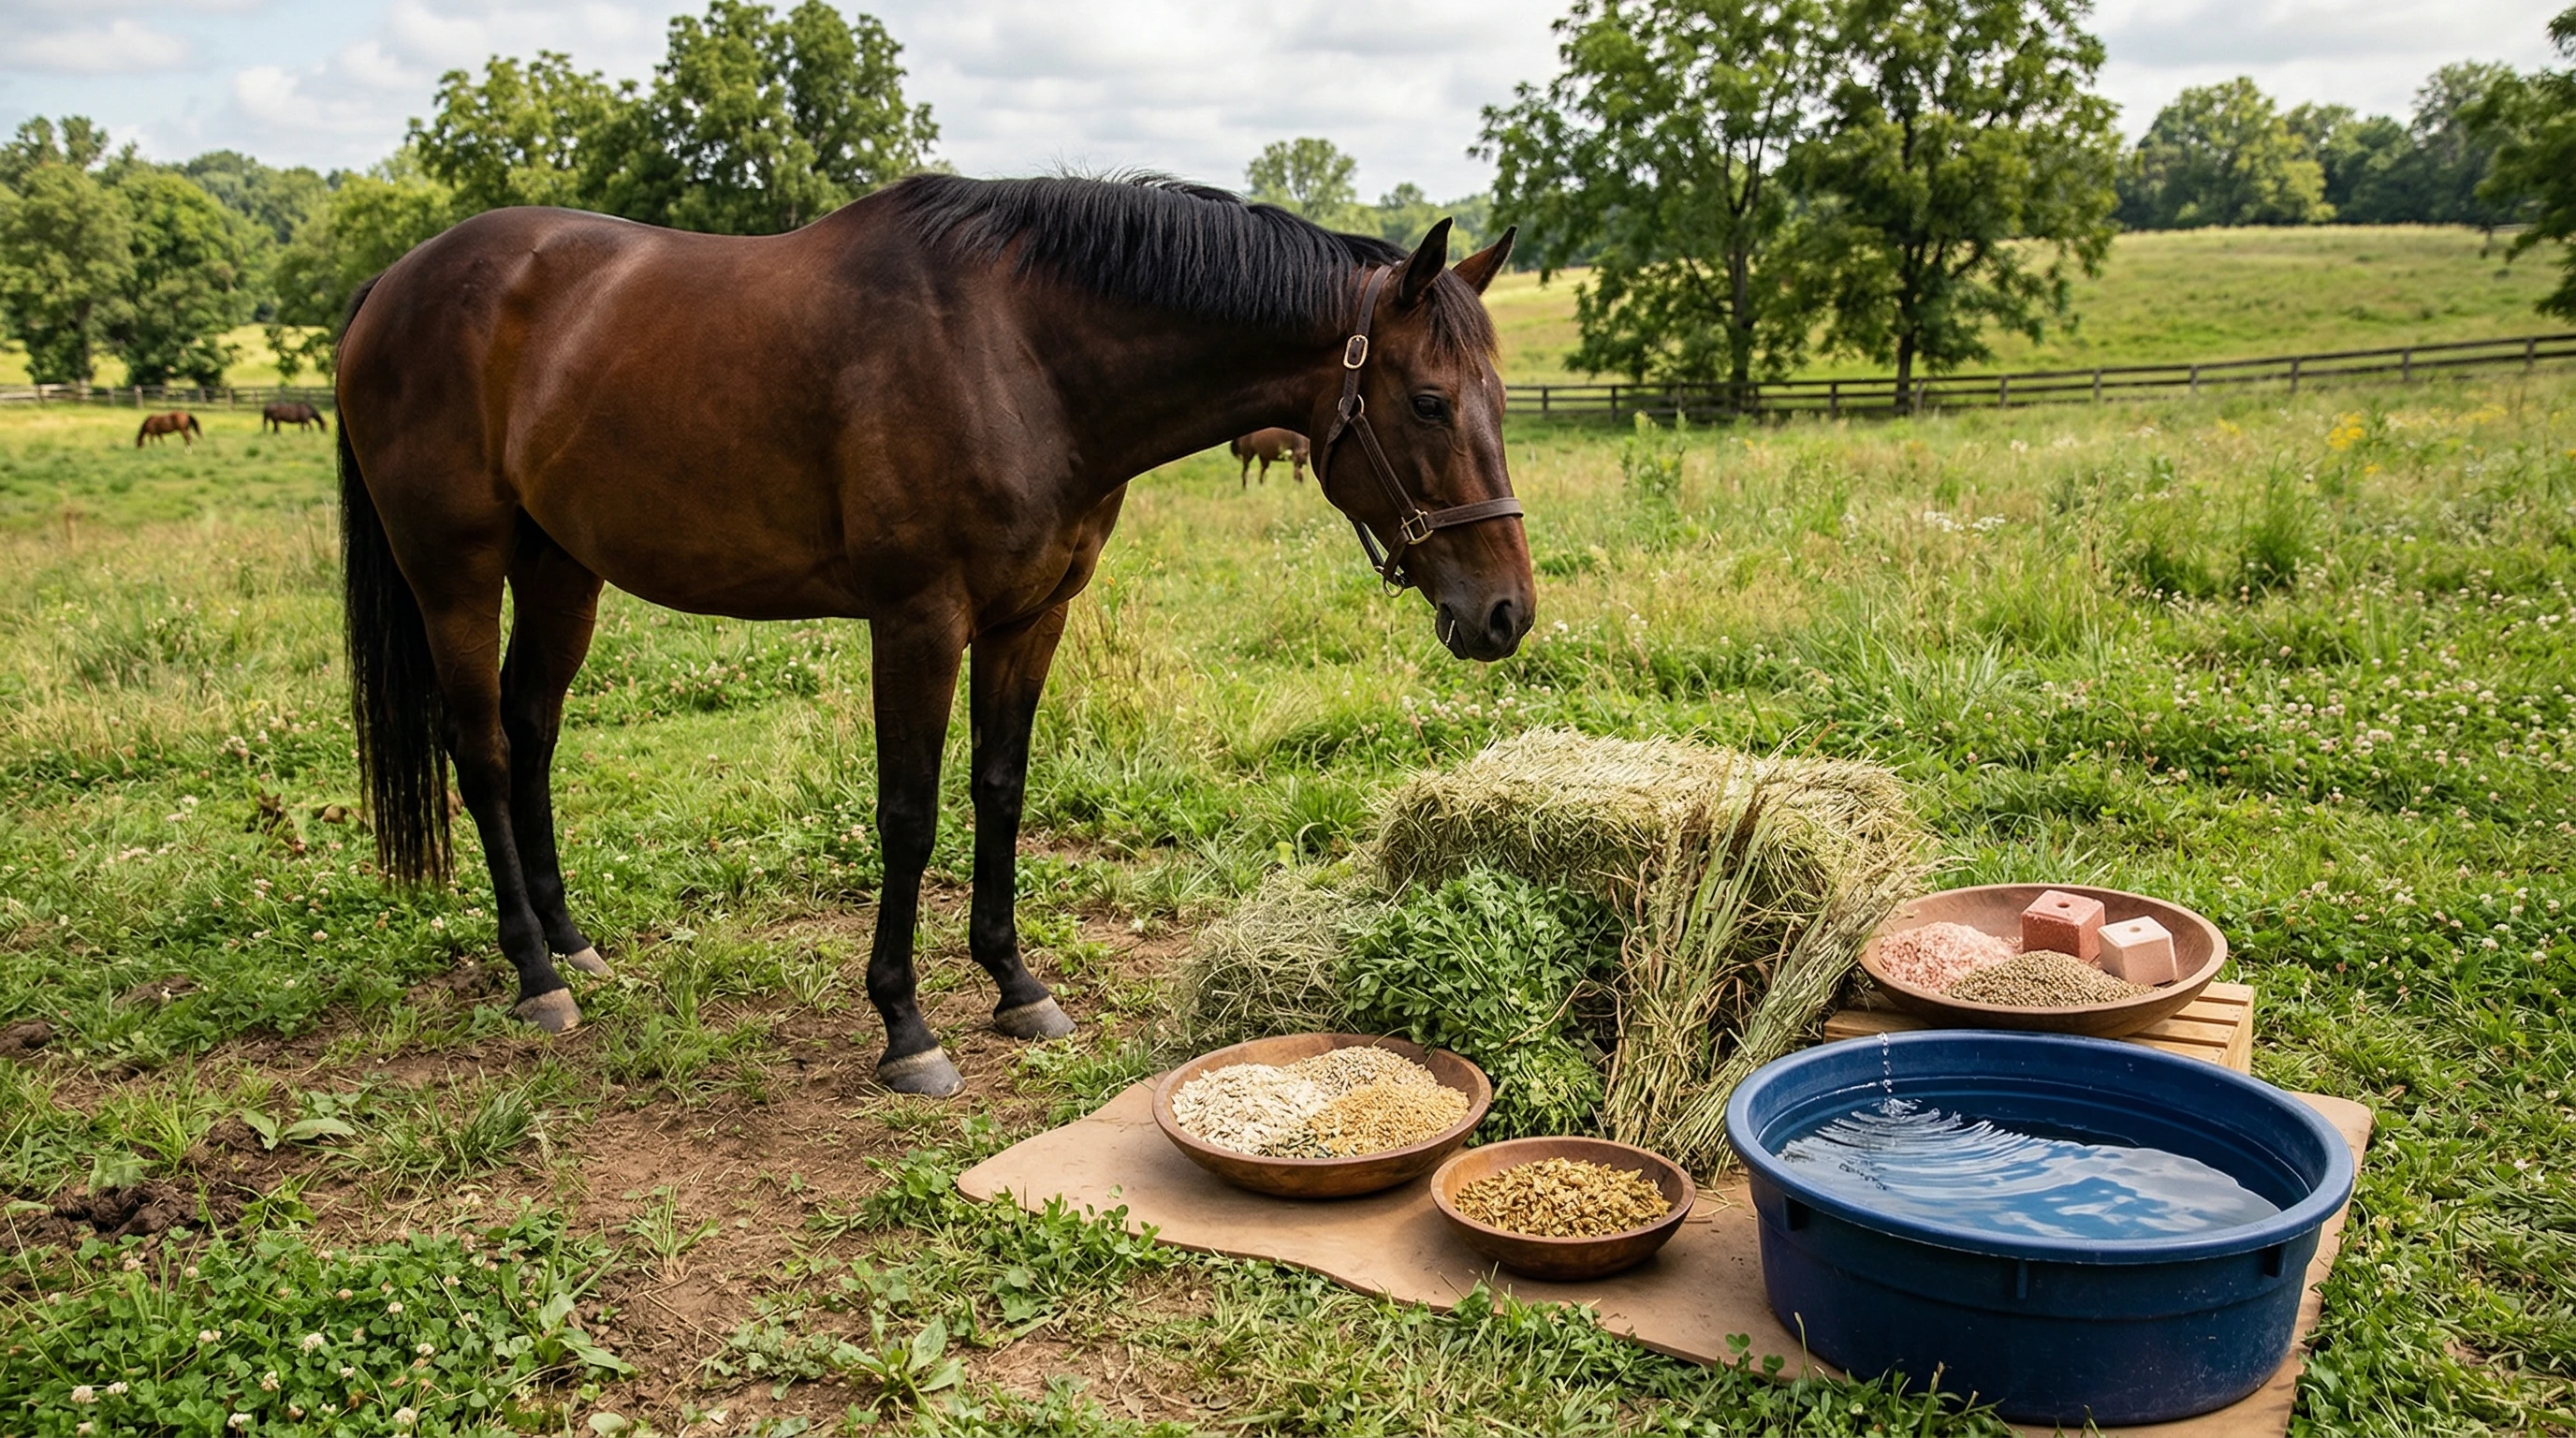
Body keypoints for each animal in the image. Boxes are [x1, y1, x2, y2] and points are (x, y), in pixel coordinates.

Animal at [335, 174, 1531, 1096]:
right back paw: (535, 975)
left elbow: (999, 789)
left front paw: (1015, 985)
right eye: (1427, 401)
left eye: (1497, 396)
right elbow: (907, 818)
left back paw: (572, 941)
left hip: (560, 567)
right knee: (484, 752)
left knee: (532, 732)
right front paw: (905, 1029)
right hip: (454, 568)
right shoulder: (917, 622)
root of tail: (393, 285)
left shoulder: (1030, 618)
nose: (1505, 613)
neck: (1020, 358)